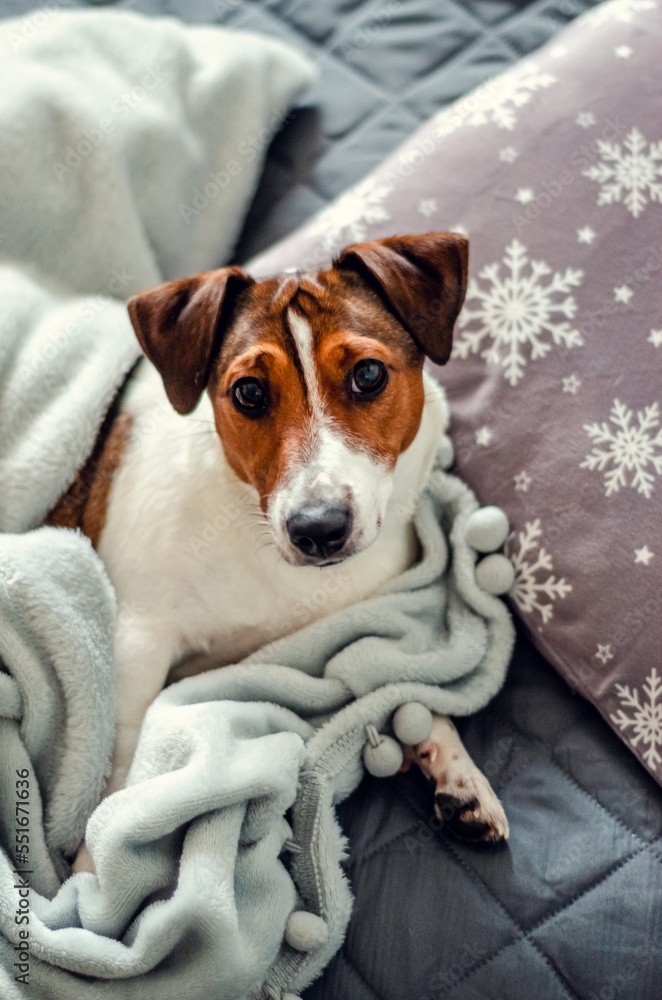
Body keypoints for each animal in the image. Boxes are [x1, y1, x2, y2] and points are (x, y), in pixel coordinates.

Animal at [46, 230, 510, 872]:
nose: (318, 529)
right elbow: (121, 776)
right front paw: (94, 876)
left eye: (369, 374)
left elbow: (409, 685)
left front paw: (459, 773)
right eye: (248, 392)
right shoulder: (139, 638)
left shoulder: (366, 620)